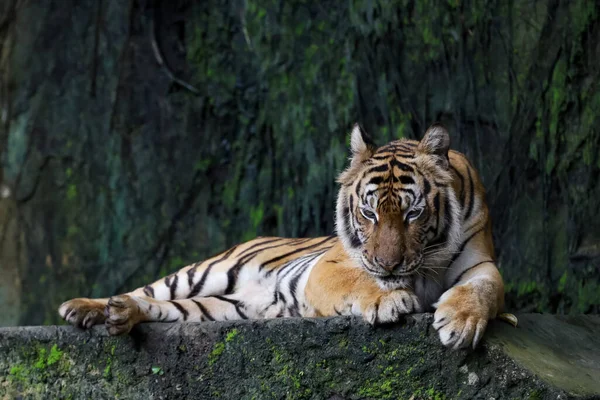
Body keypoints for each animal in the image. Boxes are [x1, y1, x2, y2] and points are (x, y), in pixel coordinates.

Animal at [58, 123, 510, 348]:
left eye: (414, 213)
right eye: (368, 213)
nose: (388, 265)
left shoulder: (480, 263)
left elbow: (483, 290)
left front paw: (461, 322)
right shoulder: (331, 265)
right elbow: (361, 281)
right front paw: (389, 299)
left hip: (222, 309)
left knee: (162, 308)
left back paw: (120, 314)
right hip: (203, 272)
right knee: (150, 289)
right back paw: (85, 307)